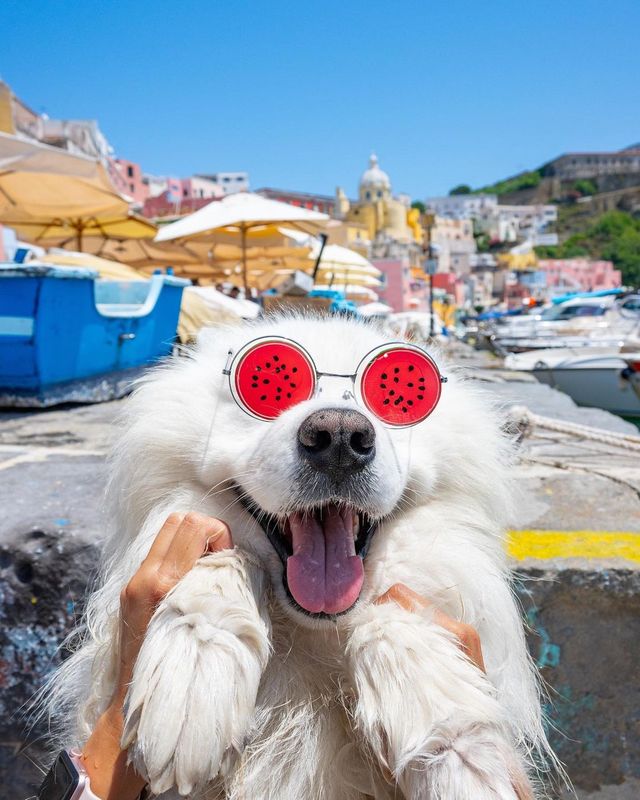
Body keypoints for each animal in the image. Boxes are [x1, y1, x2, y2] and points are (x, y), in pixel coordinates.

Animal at [47, 316, 552, 800]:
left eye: (400, 396)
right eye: (267, 384)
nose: (340, 437)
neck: (315, 639)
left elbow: (391, 614)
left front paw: (456, 750)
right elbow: (228, 560)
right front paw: (193, 675)